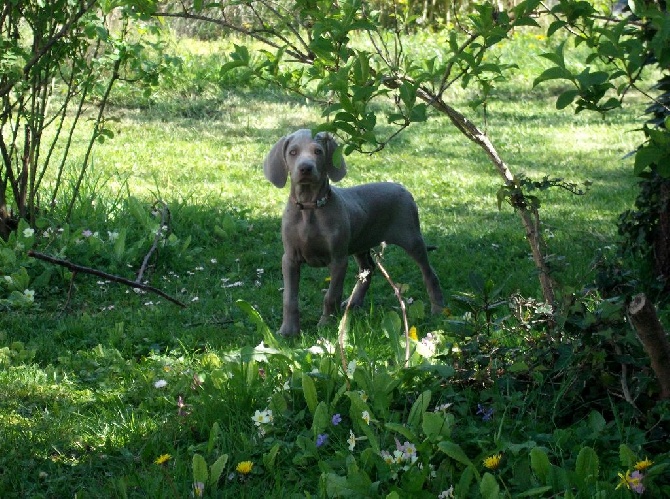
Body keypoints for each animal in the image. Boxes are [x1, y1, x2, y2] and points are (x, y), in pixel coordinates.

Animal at [264, 131, 446, 338]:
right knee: (368, 269)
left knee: (429, 273)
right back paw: (355, 303)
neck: (310, 207)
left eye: (318, 151)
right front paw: (288, 330)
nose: (305, 168)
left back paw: (438, 308)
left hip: (412, 239)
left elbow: (331, 295)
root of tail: (403, 188)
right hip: (361, 242)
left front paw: (326, 324)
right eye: (293, 152)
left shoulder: (338, 259)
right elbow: (289, 298)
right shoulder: (290, 259)